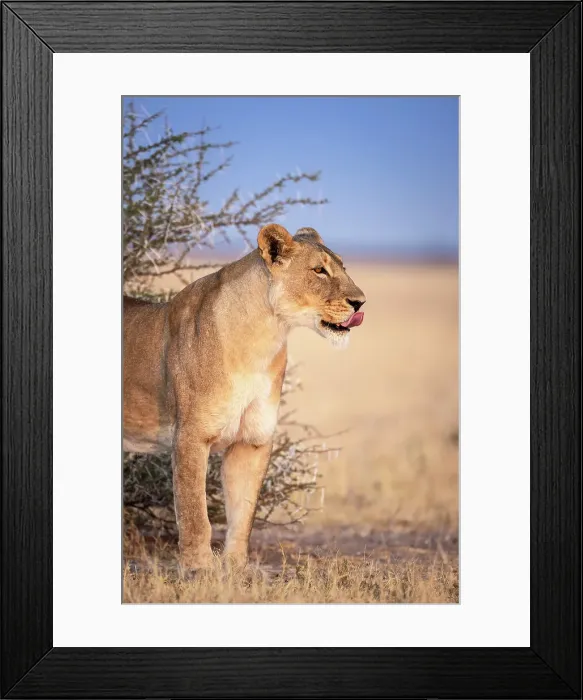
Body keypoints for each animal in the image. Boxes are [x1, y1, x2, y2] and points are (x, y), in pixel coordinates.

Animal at [123, 224, 366, 571]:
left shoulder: (251, 441)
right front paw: (199, 568)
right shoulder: (190, 436)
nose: (360, 303)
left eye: (343, 268)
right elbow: (194, 512)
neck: (263, 339)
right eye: (319, 271)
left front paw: (235, 568)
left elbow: (243, 514)